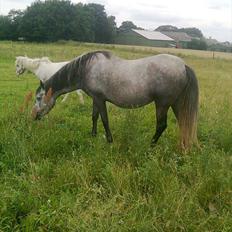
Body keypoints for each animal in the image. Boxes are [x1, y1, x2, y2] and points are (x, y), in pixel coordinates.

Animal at [31, 50, 199, 150]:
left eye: (39, 97)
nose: (34, 116)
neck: (87, 69)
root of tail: (183, 66)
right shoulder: (95, 99)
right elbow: (94, 117)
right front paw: (93, 135)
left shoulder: (100, 99)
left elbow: (104, 119)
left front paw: (109, 140)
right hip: (176, 103)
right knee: (183, 122)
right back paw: (183, 146)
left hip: (162, 104)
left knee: (161, 125)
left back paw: (150, 145)